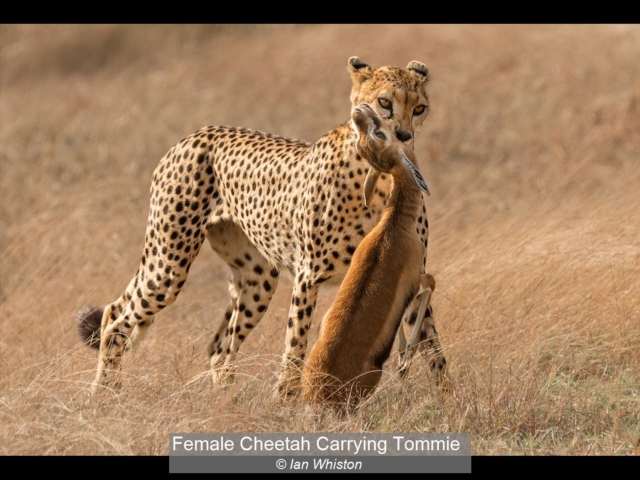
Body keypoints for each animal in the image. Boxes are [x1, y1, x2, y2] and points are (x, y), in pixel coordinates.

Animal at [77, 56, 449, 398]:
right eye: (385, 102)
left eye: (419, 108)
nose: (404, 135)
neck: (383, 177)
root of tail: (194, 134)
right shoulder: (309, 275)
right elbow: (296, 345)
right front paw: (287, 402)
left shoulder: (407, 273)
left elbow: (432, 344)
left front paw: (446, 399)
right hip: (169, 265)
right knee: (119, 319)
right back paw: (103, 393)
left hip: (257, 279)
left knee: (218, 348)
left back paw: (225, 402)